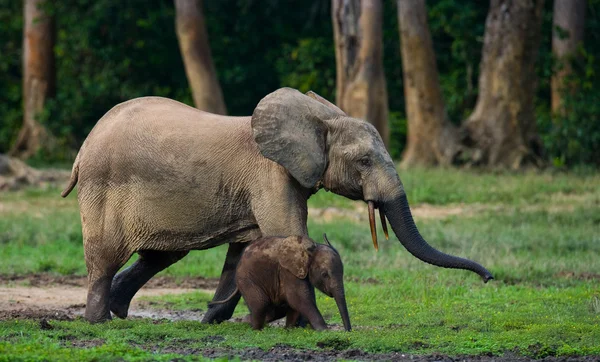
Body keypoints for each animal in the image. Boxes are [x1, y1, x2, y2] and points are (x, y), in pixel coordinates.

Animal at [211, 235, 352, 330]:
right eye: (324, 275)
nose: (348, 331)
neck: (309, 249)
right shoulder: (287, 270)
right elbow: (299, 299)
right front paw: (324, 330)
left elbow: (296, 302)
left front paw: (289, 330)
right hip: (246, 278)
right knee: (261, 304)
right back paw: (256, 329)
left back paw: (246, 321)